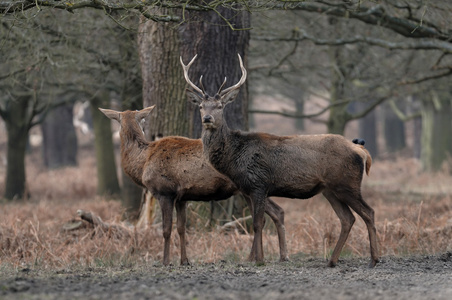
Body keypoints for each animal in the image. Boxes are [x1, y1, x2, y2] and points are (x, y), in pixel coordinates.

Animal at [99, 105, 290, 264]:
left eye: (143, 120)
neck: (143, 162)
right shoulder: (181, 198)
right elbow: (181, 228)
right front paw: (184, 260)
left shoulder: (164, 191)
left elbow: (166, 229)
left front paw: (165, 261)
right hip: (249, 189)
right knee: (274, 213)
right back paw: (272, 256)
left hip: (251, 186)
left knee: (266, 216)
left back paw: (264, 257)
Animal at [178, 53, 380, 268]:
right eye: (200, 106)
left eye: (220, 106)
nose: (207, 118)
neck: (234, 157)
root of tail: (361, 151)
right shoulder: (247, 189)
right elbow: (260, 221)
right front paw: (260, 257)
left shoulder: (258, 184)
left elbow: (257, 223)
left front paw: (259, 260)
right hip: (330, 190)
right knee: (347, 219)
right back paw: (332, 261)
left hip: (347, 184)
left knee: (368, 212)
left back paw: (374, 259)